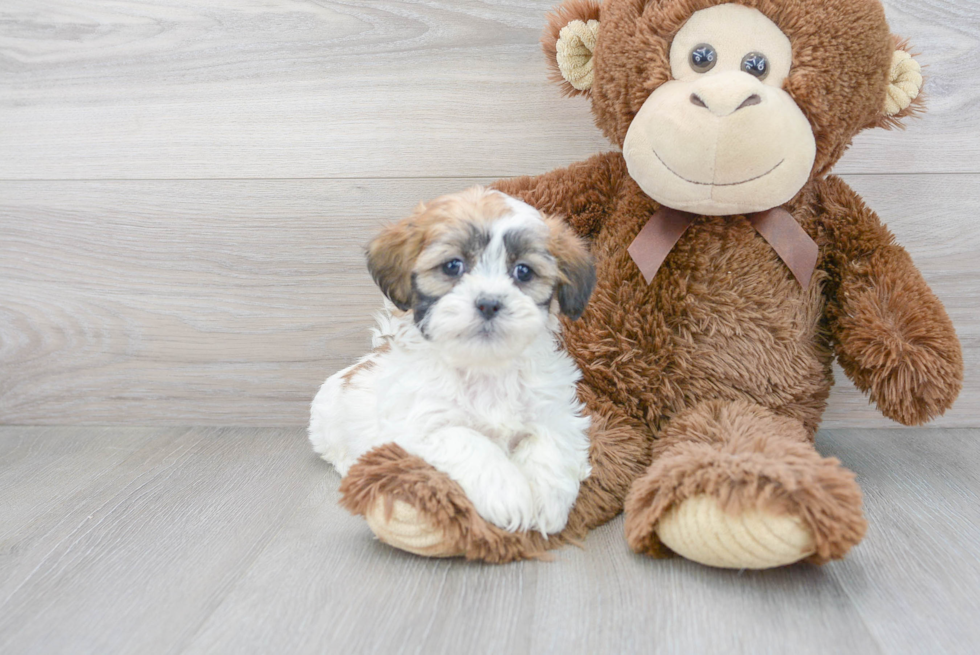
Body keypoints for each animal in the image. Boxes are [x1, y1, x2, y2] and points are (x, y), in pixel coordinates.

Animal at [310, 187, 592, 536]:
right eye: (452, 266)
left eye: (523, 271)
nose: (489, 303)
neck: (485, 367)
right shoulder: (423, 424)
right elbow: (467, 440)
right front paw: (509, 494)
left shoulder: (555, 412)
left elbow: (549, 442)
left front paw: (546, 498)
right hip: (326, 423)